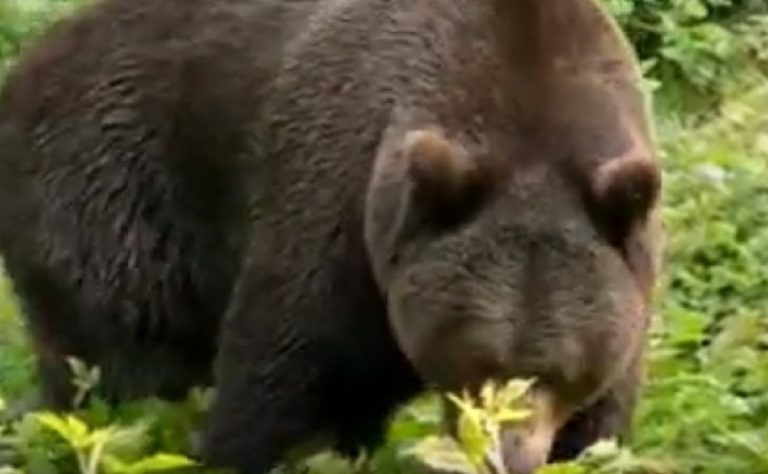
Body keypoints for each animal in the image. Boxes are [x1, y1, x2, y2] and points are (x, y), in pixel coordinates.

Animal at [0, 0, 660, 472]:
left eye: (557, 371)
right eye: (476, 358)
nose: (507, 458)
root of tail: (29, 64)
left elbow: (597, 431)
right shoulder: (337, 213)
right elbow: (287, 396)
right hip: (107, 195)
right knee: (123, 375)